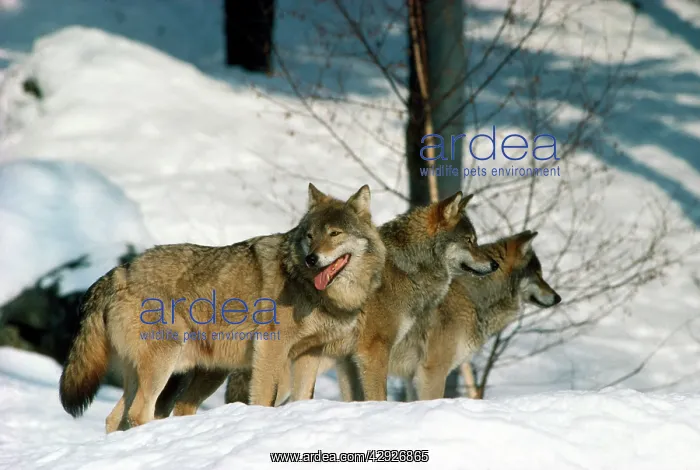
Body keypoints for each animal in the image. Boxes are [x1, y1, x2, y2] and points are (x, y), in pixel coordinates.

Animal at [59, 183, 386, 433]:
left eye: (334, 234)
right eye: (310, 236)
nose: (312, 259)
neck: (322, 294)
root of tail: (118, 271)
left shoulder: (310, 354)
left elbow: (303, 397)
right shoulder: (271, 349)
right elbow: (264, 397)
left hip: (190, 373)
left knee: (115, 418)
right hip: (166, 364)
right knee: (139, 414)